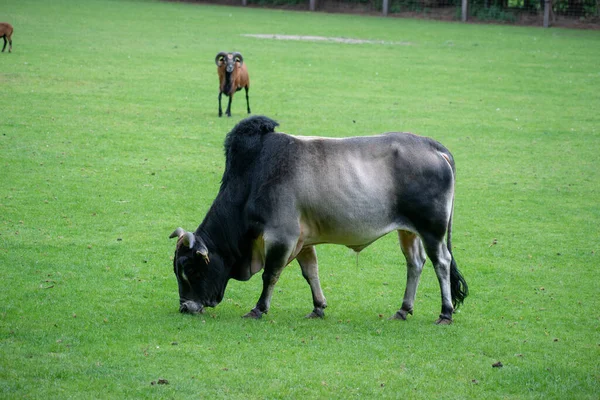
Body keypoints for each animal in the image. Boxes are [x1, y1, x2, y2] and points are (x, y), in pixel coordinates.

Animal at [170, 115, 468, 324]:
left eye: (192, 269)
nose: (185, 307)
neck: (254, 176)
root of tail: (433, 146)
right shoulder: (303, 239)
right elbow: (310, 272)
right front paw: (318, 307)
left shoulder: (282, 236)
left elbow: (270, 274)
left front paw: (258, 309)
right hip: (408, 231)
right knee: (415, 262)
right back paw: (404, 309)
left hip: (432, 230)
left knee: (441, 262)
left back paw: (445, 313)